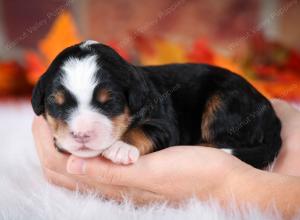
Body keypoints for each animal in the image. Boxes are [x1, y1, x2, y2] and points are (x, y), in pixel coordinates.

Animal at [31, 40, 282, 168]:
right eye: (57, 104)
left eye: (109, 102)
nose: (82, 134)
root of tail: (271, 113)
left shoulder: (165, 124)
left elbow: (142, 131)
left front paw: (121, 148)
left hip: (225, 101)